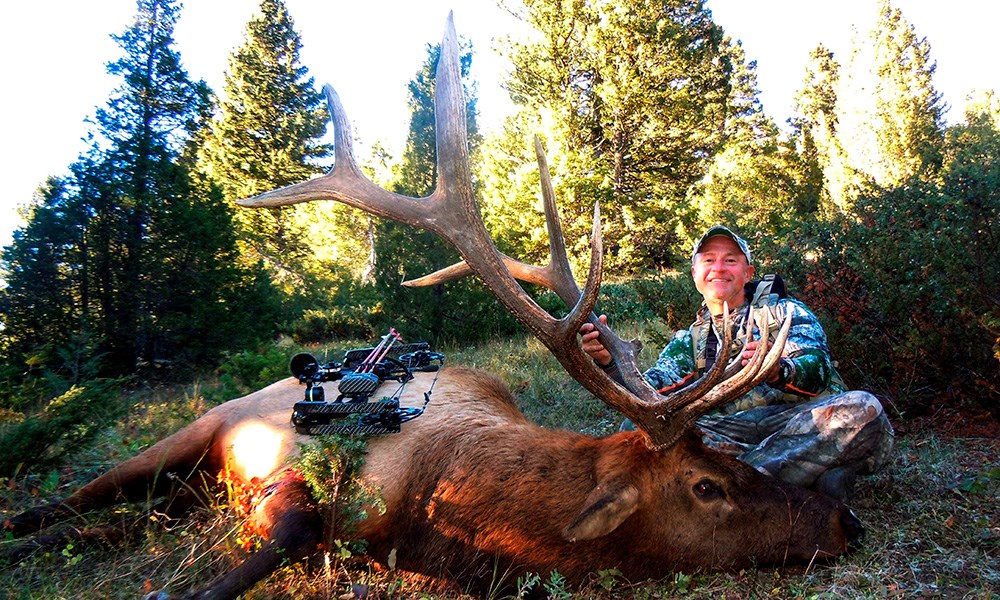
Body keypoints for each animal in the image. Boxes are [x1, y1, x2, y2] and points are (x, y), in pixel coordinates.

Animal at [1, 14, 868, 600]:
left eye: (731, 458)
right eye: (706, 485)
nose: (845, 521)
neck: (448, 511)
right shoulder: (291, 473)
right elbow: (288, 532)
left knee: (131, 512)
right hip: (203, 423)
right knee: (77, 496)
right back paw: (25, 529)